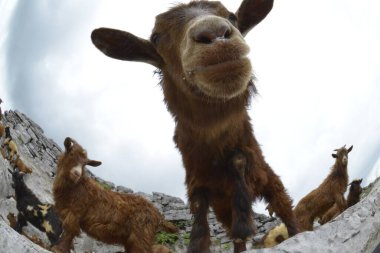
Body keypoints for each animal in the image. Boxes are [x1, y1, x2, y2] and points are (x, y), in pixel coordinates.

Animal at [90, 0, 298, 252]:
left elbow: (238, 161)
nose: (215, 33)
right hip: (223, 210)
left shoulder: (248, 155)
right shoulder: (196, 181)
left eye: (231, 16)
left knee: (286, 211)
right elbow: (200, 225)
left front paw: (244, 219)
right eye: (156, 37)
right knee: (236, 238)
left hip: (270, 181)